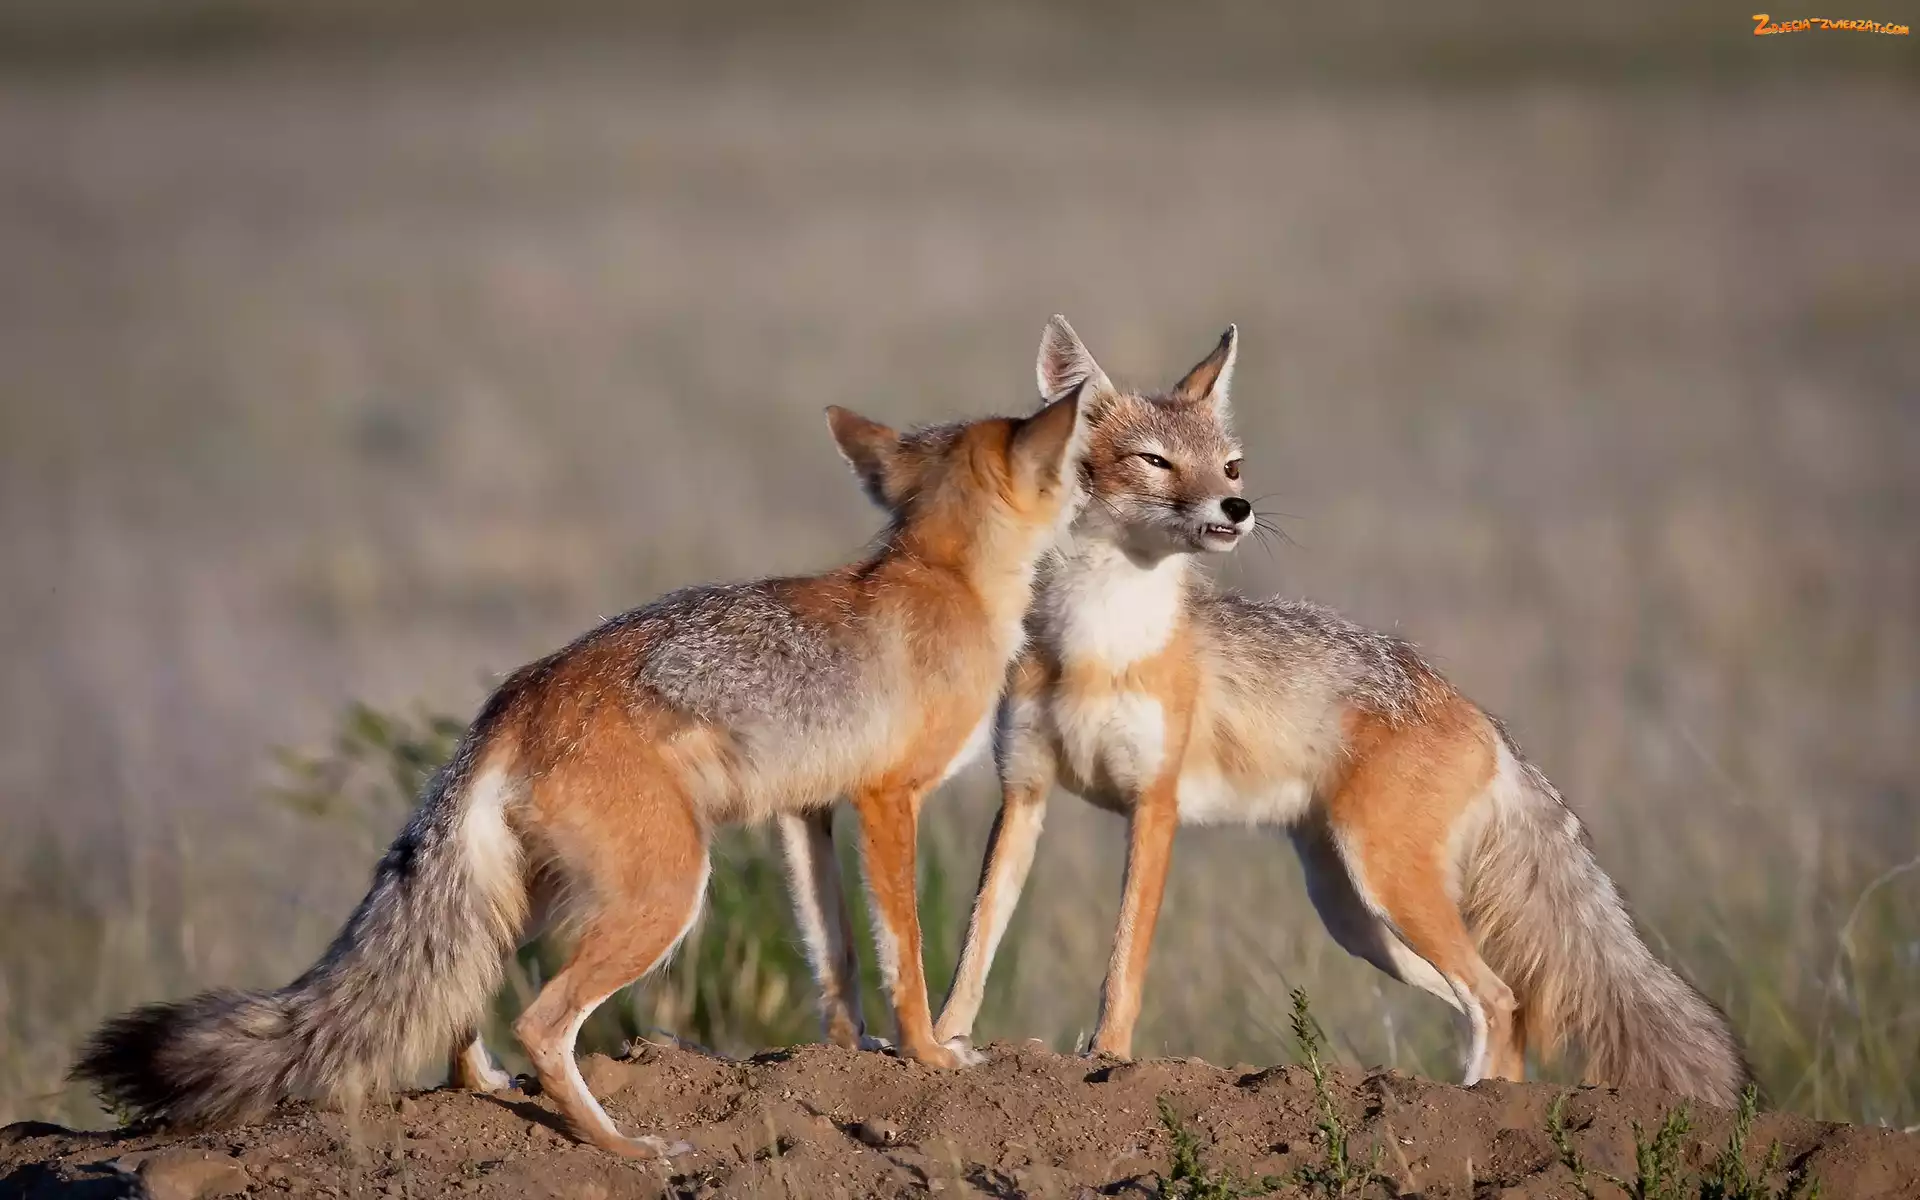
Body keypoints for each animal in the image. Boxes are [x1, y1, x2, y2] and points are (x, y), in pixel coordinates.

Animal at [72, 394, 1089, 1157]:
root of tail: (516, 696)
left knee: (458, 1006)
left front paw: (849, 1051)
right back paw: (621, 1147)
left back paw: (486, 1086)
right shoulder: (888, 800)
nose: (1092, 485)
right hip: (665, 896)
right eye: (1074, 466)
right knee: (544, 1021)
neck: (944, 576)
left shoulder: (807, 812)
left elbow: (831, 955)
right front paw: (928, 1052)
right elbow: (903, 952)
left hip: (524, 904)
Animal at [926, 317, 1750, 1105]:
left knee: (1499, 997)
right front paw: (941, 1042)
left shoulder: (1153, 806)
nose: (1237, 507)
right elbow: (974, 941)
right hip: (1356, 914)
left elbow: (1125, 956)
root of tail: (1481, 716)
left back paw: (1466, 1105)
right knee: (1499, 1008)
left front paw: (1110, 1056)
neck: (1097, 643)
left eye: (1231, 466)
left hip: (1386, 884)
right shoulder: (1024, 793)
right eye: (1156, 462)